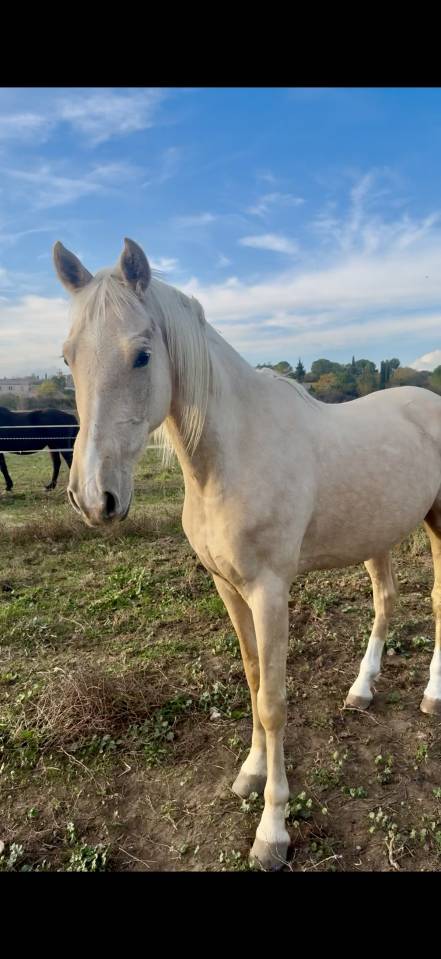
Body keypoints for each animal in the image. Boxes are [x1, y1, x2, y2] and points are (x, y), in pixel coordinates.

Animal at [53, 237, 441, 871]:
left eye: (142, 356)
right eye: (68, 359)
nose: (94, 497)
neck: (230, 457)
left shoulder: (269, 592)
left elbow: (275, 702)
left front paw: (272, 831)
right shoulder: (228, 587)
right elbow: (255, 680)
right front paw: (250, 775)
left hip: (438, 524)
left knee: (433, 602)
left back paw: (432, 695)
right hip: (376, 537)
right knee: (386, 601)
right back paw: (362, 689)